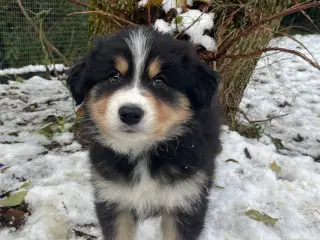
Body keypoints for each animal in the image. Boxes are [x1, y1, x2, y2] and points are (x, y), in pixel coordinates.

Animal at [66, 26, 221, 240]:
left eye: (160, 81)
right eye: (114, 77)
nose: (130, 113)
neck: (142, 153)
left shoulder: (185, 200)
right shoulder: (113, 197)